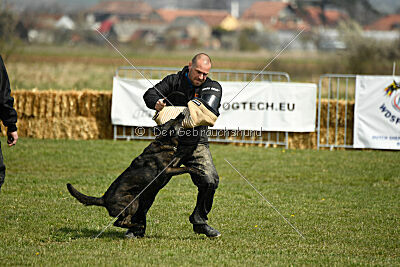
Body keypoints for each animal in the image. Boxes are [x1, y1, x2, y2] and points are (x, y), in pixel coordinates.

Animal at [67, 114, 195, 229]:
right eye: (175, 120)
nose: (182, 113)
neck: (165, 141)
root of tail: (103, 199)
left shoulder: (174, 162)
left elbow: (181, 156)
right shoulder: (168, 170)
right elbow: (186, 168)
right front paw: (196, 170)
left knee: (118, 222)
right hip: (132, 202)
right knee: (121, 222)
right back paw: (138, 225)